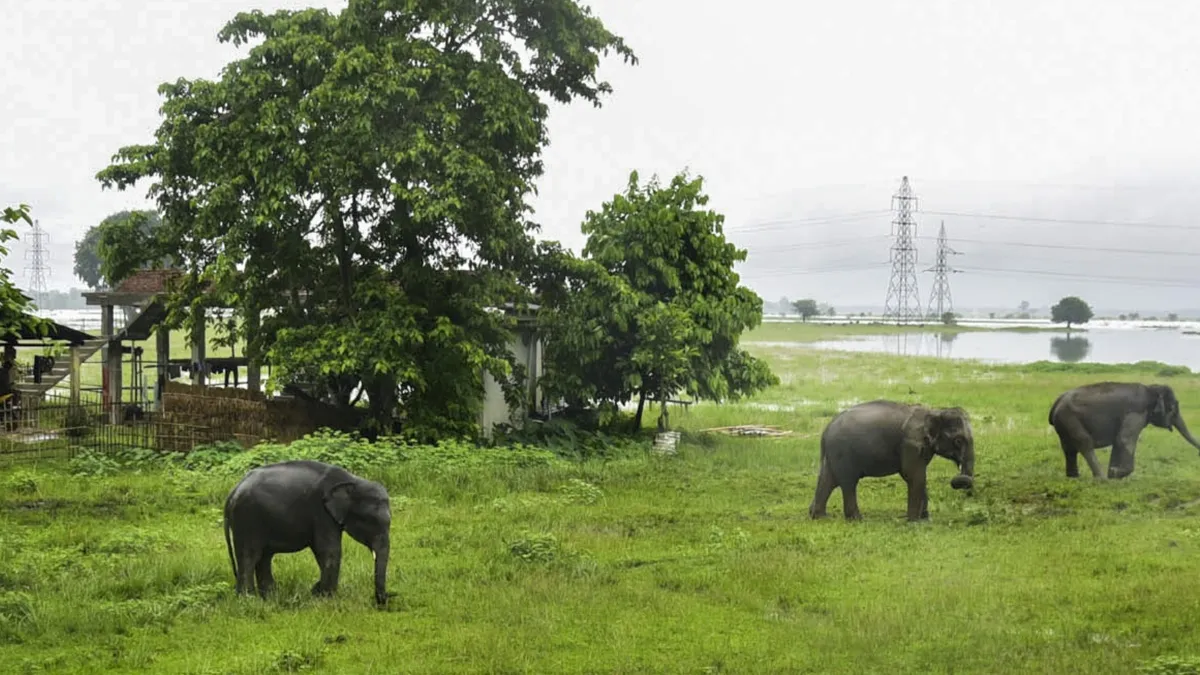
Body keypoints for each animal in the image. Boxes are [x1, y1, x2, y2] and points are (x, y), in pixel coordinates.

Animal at [223, 460, 392, 606]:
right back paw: (249, 600)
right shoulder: (321, 513)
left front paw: (318, 593)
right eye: (371, 521)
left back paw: (270, 597)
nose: (381, 602)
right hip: (247, 518)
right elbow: (329, 551)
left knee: (263, 557)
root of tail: (233, 491)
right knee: (250, 556)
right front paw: (325, 597)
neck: (353, 481)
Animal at [808, 400, 976, 522]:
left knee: (828, 480)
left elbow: (919, 476)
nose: (960, 479)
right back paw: (857, 519)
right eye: (958, 441)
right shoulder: (910, 444)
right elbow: (914, 475)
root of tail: (826, 431)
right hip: (843, 453)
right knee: (848, 483)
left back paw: (819, 517)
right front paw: (914, 522)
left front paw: (926, 519)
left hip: (833, 455)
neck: (935, 411)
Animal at [1048, 381, 1200, 479]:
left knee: (1069, 449)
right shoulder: (1136, 412)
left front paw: (1113, 474)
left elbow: (1118, 440)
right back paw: (1101, 479)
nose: (1198, 455)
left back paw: (1073, 477)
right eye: (1173, 408)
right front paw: (1114, 474)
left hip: (1063, 424)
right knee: (1085, 443)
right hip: (1069, 418)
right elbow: (1125, 439)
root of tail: (1056, 402)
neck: (1151, 389)